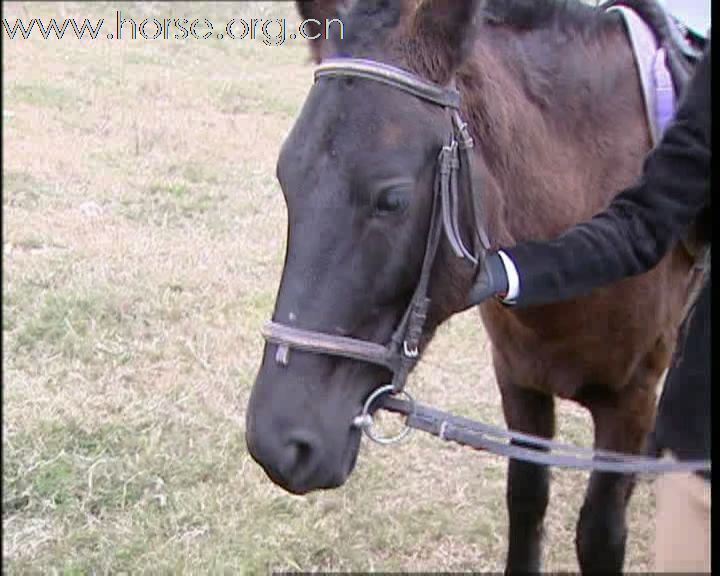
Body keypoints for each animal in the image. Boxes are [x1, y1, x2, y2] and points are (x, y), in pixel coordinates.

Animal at [245, 0, 700, 572]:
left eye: (392, 199)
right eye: (288, 180)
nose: (278, 443)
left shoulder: (630, 401)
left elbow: (599, 535)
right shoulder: (520, 380)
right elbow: (526, 501)